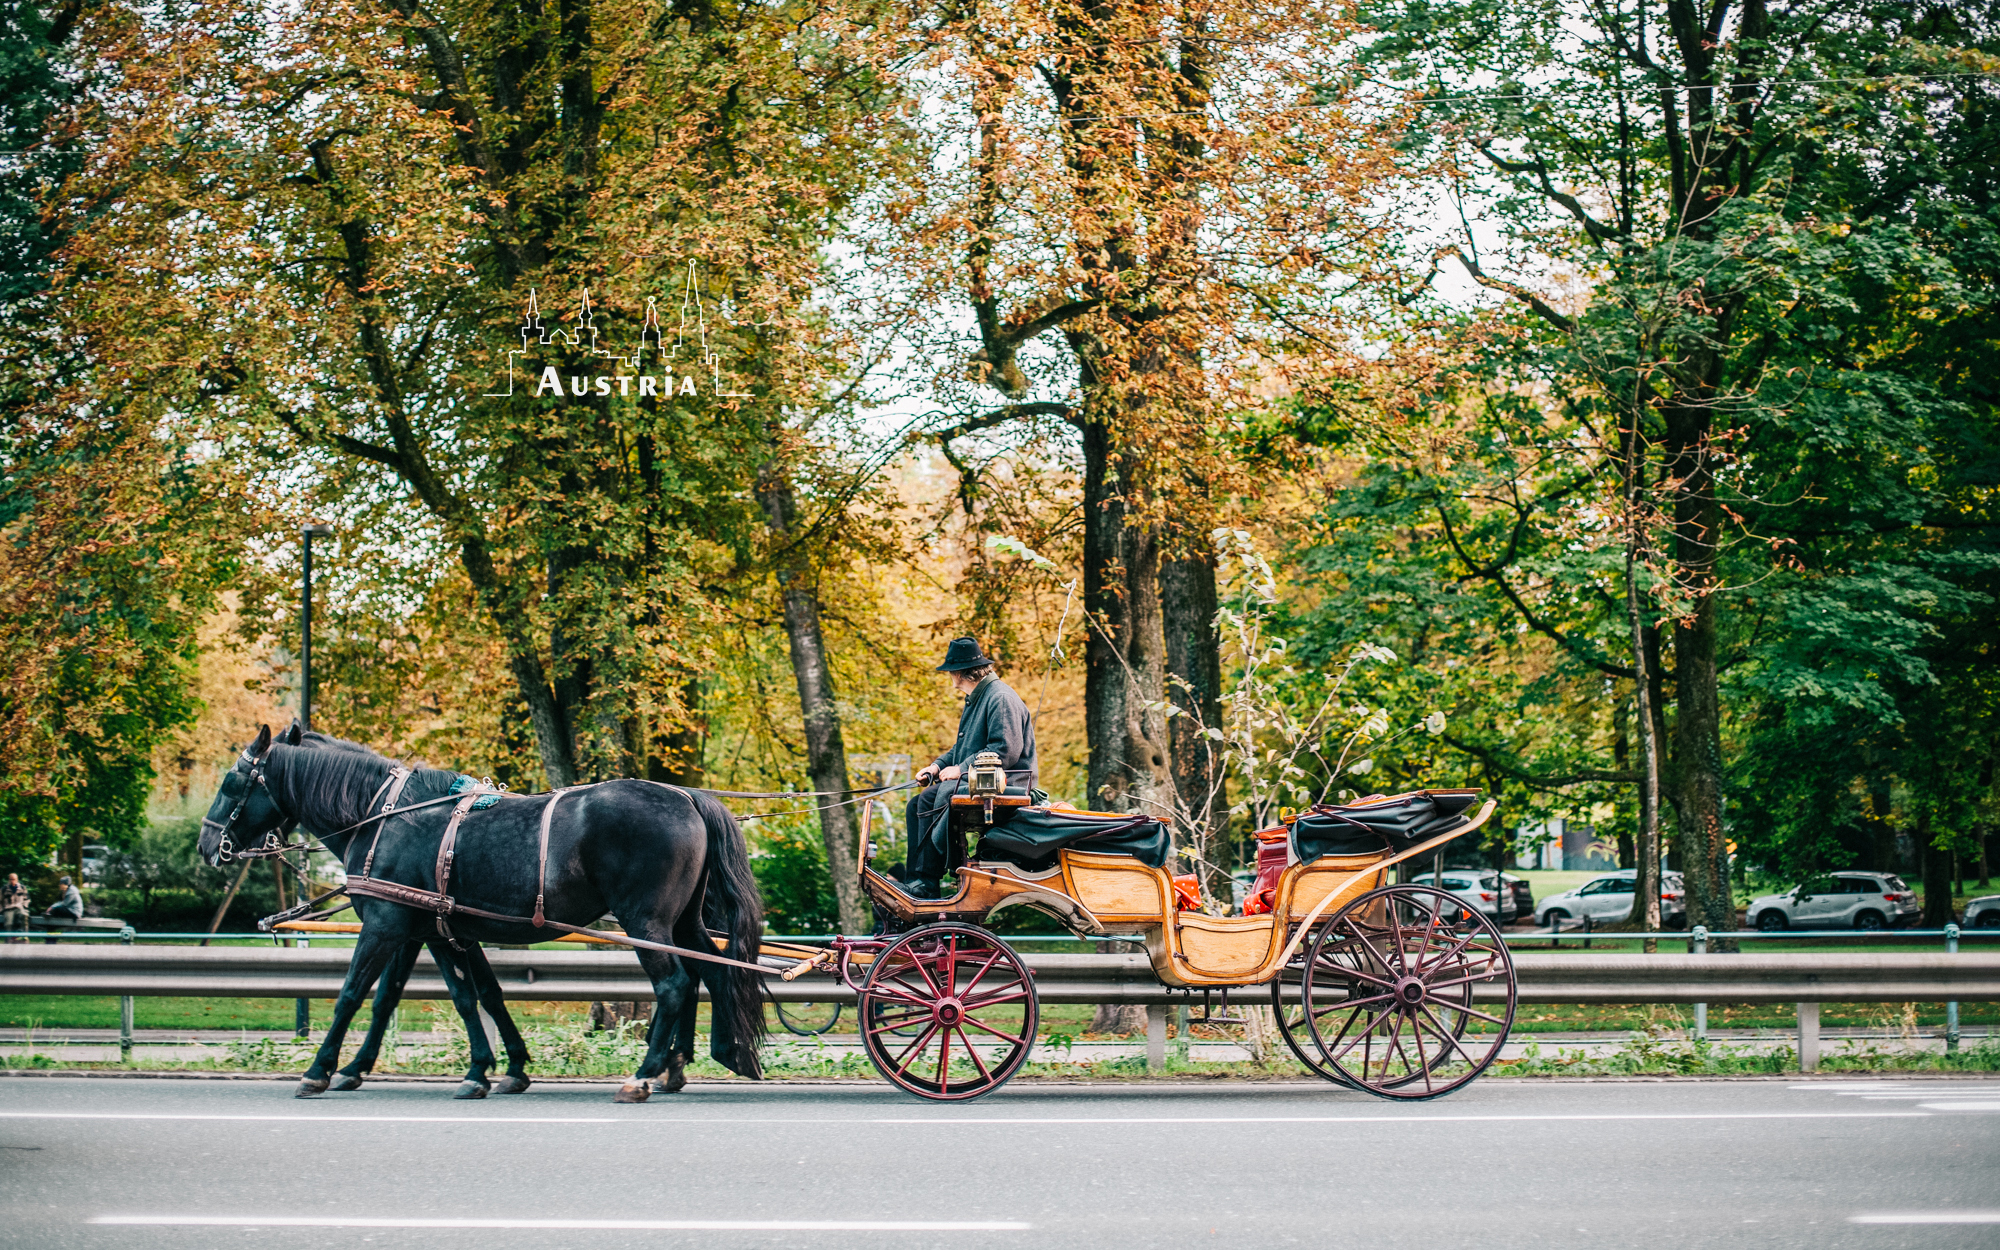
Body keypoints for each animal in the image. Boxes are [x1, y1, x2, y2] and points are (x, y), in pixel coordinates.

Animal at [199, 728, 764, 1096]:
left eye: (232, 782)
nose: (207, 845)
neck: (382, 816)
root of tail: (686, 796)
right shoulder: (433, 930)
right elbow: (461, 997)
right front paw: (501, 1067)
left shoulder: (385, 925)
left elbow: (356, 995)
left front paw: (320, 1068)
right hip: (681, 920)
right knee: (708, 972)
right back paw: (689, 1061)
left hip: (645, 921)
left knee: (673, 984)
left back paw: (645, 1072)